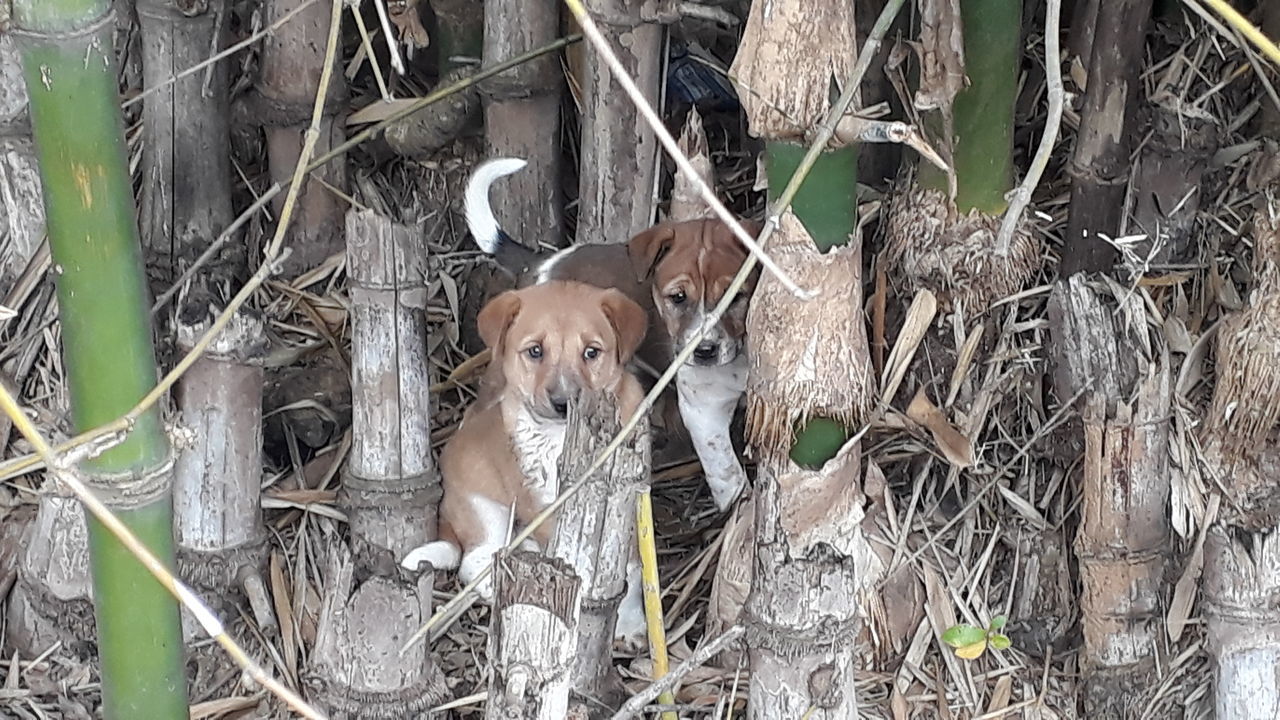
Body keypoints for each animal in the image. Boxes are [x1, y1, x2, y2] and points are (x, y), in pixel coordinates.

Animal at [401, 280, 650, 645]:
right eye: (535, 352)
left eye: (591, 352)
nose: (563, 403)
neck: (560, 437)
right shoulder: (542, 502)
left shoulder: (629, 502)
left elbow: (629, 569)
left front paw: (630, 622)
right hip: (487, 510)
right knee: (474, 559)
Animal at [465, 158, 757, 509]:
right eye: (677, 298)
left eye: (736, 296)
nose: (704, 352)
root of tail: (540, 263)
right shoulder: (705, 411)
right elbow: (727, 474)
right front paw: (740, 508)